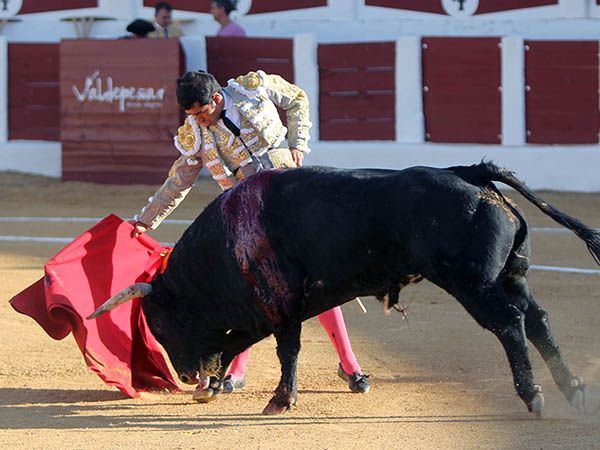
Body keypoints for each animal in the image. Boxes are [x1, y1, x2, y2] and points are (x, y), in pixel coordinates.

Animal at [89, 162, 600, 414]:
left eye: (160, 323)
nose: (187, 375)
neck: (227, 242)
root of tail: (472, 172)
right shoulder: (268, 308)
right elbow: (248, 343)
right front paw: (220, 387)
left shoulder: (278, 303)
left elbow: (287, 349)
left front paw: (280, 400)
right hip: (511, 277)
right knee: (538, 319)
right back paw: (573, 388)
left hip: (473, 285)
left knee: (511, 325)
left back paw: (534, 396)